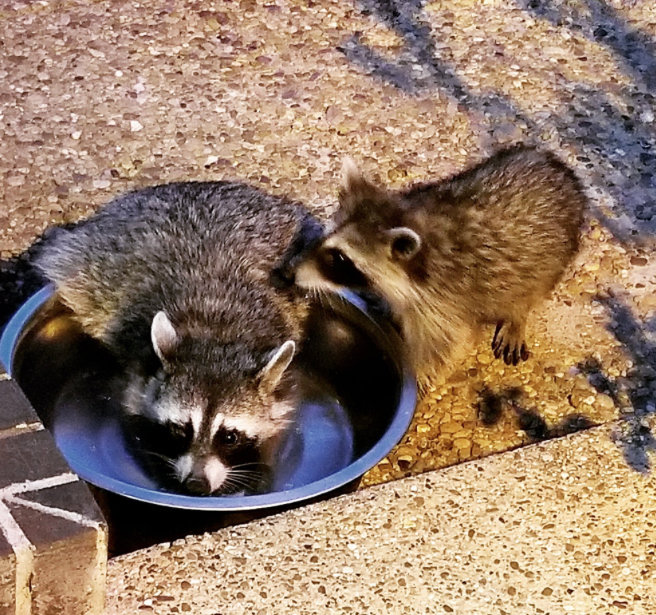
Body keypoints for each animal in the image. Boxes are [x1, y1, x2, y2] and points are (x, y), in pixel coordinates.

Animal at [36, 181, 323, 496]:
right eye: (180, 429)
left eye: (230, 437)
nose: (196, 484)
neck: (217, 333)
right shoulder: (138, 371)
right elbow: (133, 419)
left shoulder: (282, 387)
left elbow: (277, 428)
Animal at [293, 146, 586, 380]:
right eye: (325, 237)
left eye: (340, 258)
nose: (291, 272)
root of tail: (555, 165)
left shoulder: (443, 302)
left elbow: (443, 348)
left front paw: (420, 381)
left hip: (553, 258)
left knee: (528, 292)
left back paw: (517, 317)